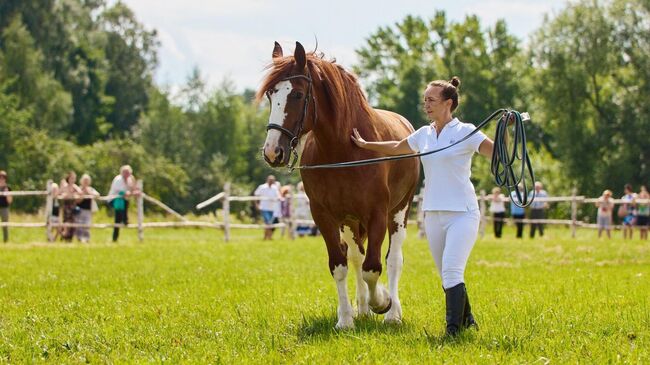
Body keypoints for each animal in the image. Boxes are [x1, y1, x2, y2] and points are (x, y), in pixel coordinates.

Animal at [258, 41, 420, 328]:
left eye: (297, 94)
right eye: (270, 94)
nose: (272, 152)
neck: (343, 150)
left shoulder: (377, 214)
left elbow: (373, 268)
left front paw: (383, 301)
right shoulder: (325, 216)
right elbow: (340, 265)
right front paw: (346, 318)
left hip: (399, 211)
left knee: (393, 260)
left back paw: (392, 313)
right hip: (350, 223)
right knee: (356, 257)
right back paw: (363, 308)